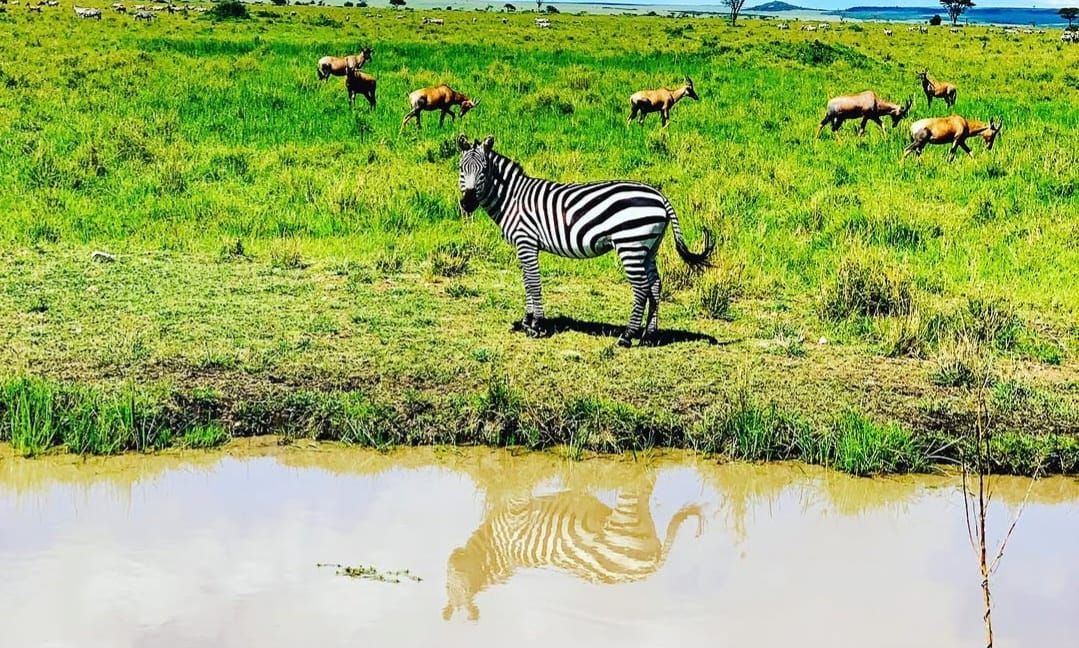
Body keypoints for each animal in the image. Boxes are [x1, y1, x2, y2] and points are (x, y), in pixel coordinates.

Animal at [442, 477, 703, 621]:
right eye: (447, 584)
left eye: (456, 580)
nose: (452, 556)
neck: (495, 552)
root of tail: (653, 565)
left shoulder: (517, 510)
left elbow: (514, 482)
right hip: (638, 517)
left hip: (626, 516)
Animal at [456, 134, 715, 347]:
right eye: (461, 168)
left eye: (484, 170)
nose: (467, 203)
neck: (512, 198)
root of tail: (660, 196)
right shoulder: (524, 246)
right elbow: (527, 282)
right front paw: (528, 321)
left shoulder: (526, 241)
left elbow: (533, 282)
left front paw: (536, 325)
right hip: (648, 247)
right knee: (654, 285)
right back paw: (649, 336)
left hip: (630, 244)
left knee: (641, 287)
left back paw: (627, 336)